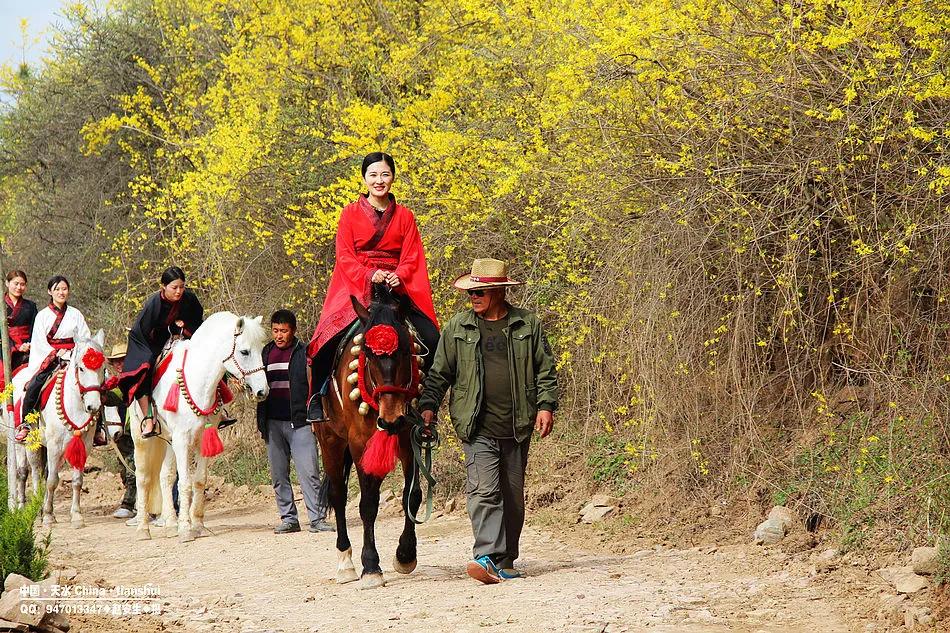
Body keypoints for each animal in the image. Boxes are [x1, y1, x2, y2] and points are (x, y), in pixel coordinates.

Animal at [8, 330, 106, 524]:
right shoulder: (54, 445)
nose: (93, 406)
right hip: (30, 443)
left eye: (102, 368)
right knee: (34, 472)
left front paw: (76, 515)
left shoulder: (84, 446)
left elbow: (77, 480)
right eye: (81, 368)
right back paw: (35, 508)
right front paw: (47, 515)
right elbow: (52, 480)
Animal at [132, 314, 270, 540]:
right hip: (142, 437)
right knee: (143, 479)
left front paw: (197, 525)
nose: (262, 391)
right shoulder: (182, 440)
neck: (198, 382)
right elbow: (185, 482)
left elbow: (199, 481)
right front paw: (185, 529)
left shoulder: (202, 439)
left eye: (261, 349)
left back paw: (170, 524)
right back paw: (143, 528)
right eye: (244, 352)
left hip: (169, 440)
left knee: (165, 477)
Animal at [318, 282, 426, 588]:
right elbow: (366, 505)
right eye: (368, 352)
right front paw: (370, 566)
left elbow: (412, 496)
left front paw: (405, 555)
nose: (391, 418)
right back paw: (346, 562)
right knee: (338, 495)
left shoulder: (411, 440)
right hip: (330, 440)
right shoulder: (358, 443)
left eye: (405, 351)